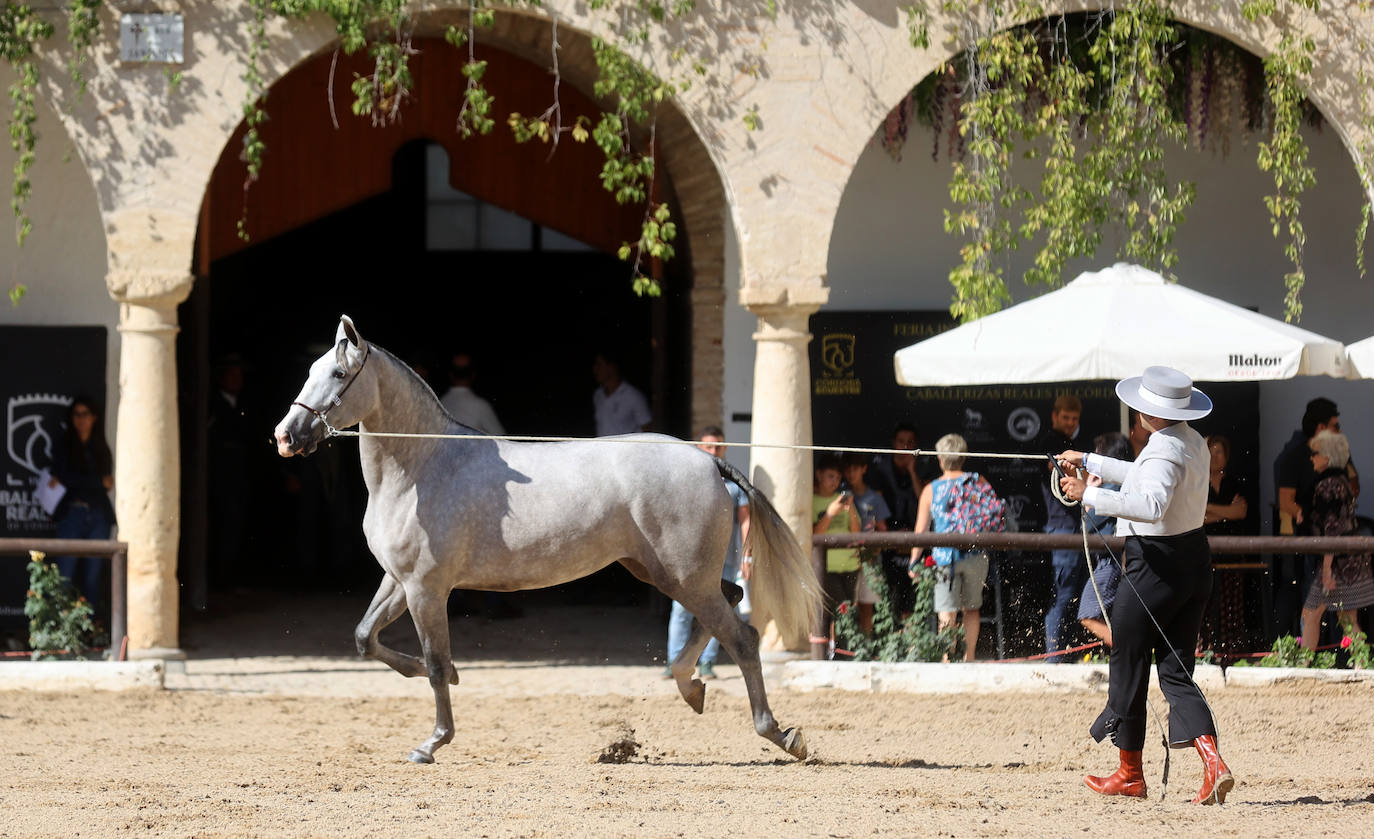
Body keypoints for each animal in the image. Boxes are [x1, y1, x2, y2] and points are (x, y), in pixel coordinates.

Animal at [273, 316, 821, 764]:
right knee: (730, 601)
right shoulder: (399, 580)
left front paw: (432, 742)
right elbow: (366, 638)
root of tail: (708, 460)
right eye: (310, 371)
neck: (422, 467)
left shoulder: (427, 589)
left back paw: (782, 734)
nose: (285, 436)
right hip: (667, 573)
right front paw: (449, 684)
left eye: (337, 375)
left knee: (743, 637)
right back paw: (692, 687)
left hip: (684, 577)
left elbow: (434, 664)